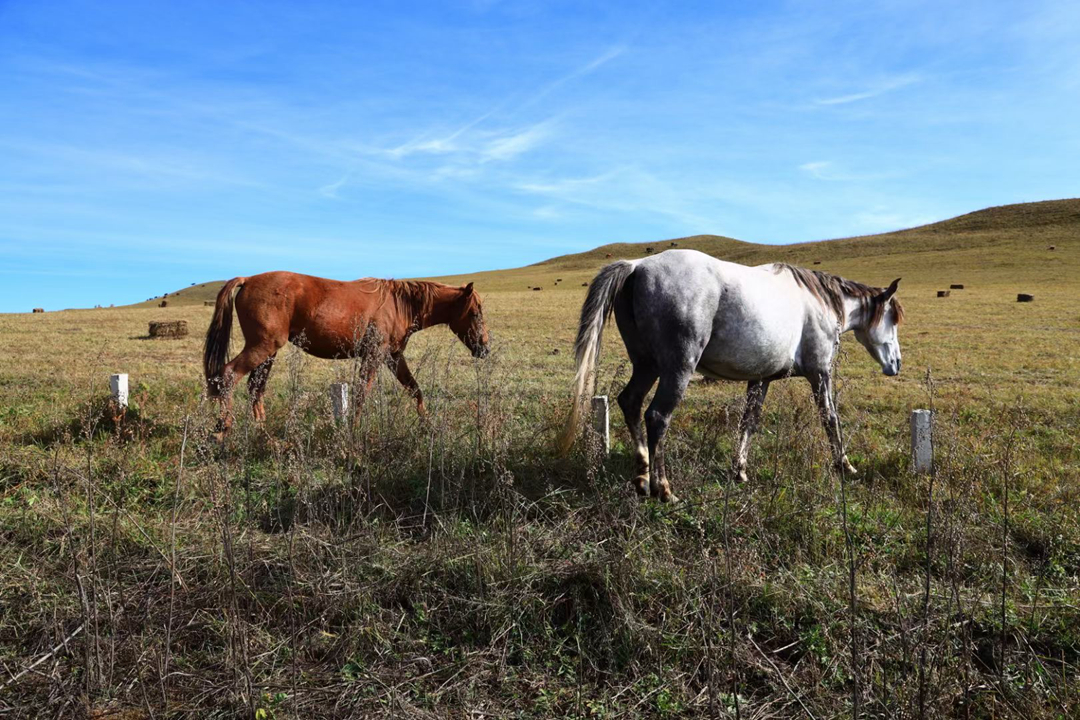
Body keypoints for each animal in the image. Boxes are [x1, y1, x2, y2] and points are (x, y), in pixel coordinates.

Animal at [203, 273, 490, 433]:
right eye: (475, 313)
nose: (485, 348)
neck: (400, 304)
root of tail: (248, 280)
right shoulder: (374, 356)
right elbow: (361, 393)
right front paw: (354, 430)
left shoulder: (393, 357)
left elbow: (415, 390)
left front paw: (426, 424)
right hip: (262, 347)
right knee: (228, 375)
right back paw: (223, 430)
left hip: (268, 352)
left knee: (255, 387)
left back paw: (262, 433)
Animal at [557, 250, 902, 505]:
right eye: (893, 319)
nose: (896, 363)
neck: (819, 303)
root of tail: (637, 266)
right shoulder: (820, 372)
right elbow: (830, 418)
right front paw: (845, 465)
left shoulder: (761, 379)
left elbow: (749, 422)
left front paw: (740, 471)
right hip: (676, 369)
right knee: (656, 417)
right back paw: (664, 490)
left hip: (646, 365)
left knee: (629, 402)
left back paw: (642, 479)